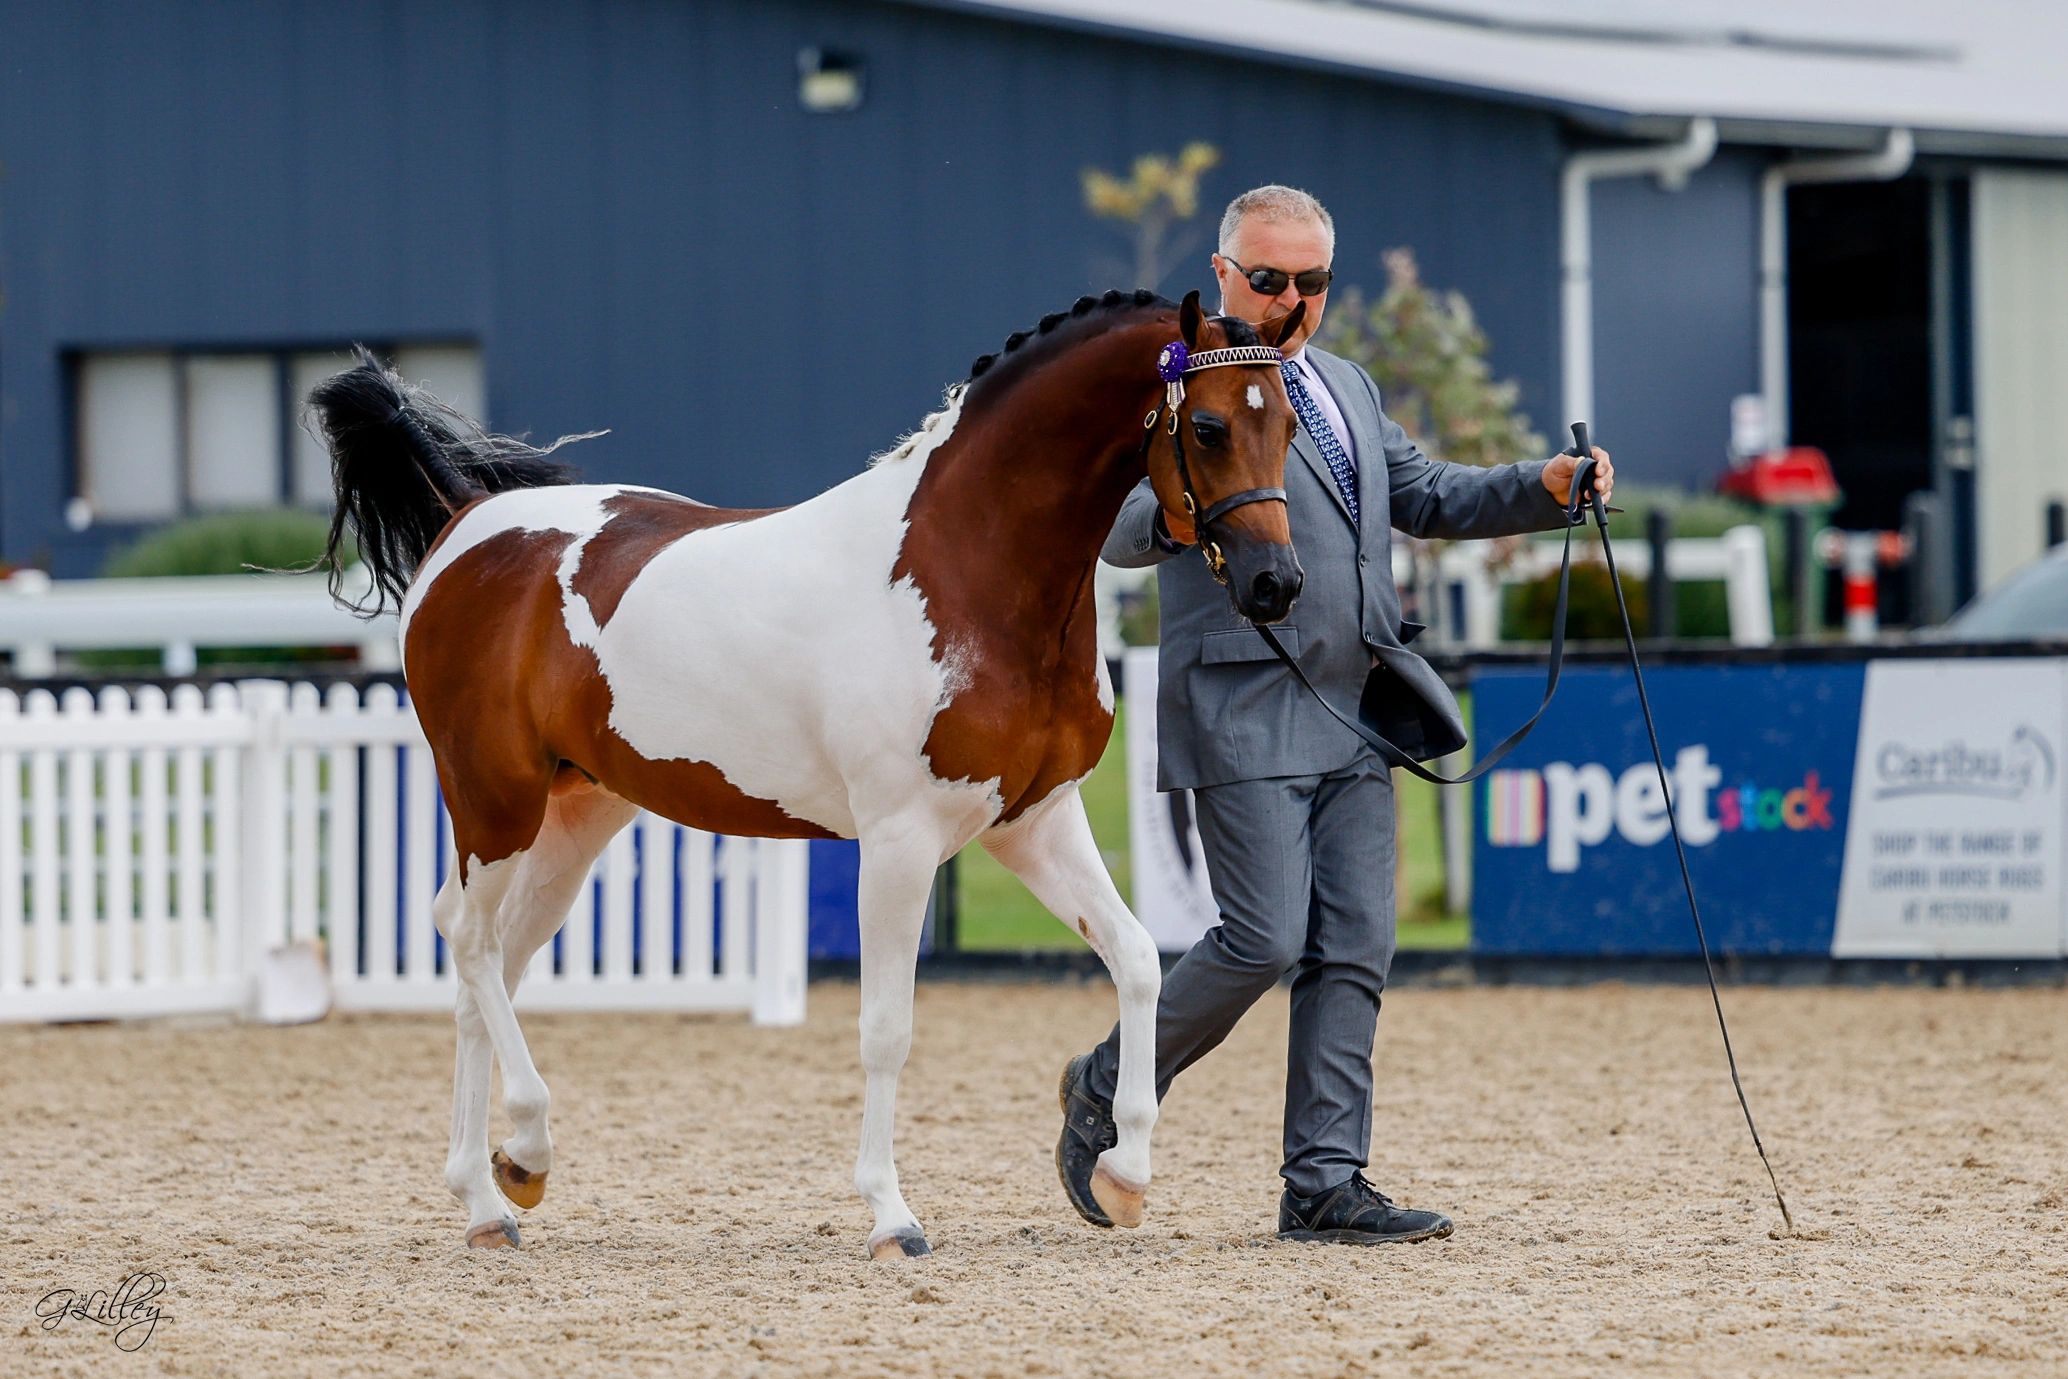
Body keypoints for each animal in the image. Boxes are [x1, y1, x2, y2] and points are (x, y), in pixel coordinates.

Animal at [309, 287, 1307, 1258]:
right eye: (1208, 426)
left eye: (1291, 420)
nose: (1276, 585)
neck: (963, 570)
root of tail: (466, 521)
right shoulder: (900, 841)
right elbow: (887, 1029)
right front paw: (892, 1215)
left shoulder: (1033, 821)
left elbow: (1137, 959)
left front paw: (1124, 1175)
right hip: (494, 800)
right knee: (467, 938)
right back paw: (528, 1149)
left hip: (573, 818)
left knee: (492, 967)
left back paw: (493, 1190)